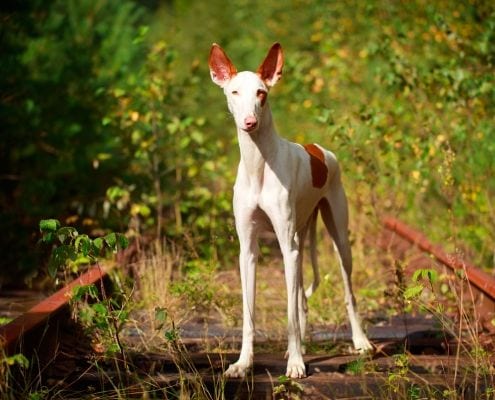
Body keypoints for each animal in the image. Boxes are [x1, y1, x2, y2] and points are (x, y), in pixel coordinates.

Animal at [208, 43, 372, 378]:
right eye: (234, 92)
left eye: (261, 93)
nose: (249, 122)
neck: (259, 163)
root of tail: (318, 149)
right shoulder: (248, 250)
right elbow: (250, 313)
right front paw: (243, 363)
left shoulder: (288, 247)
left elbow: (290, 314)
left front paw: (295, 363)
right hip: (300, 237)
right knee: (302, 301)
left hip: (337, 239)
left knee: (347, 293)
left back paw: (360, 341)